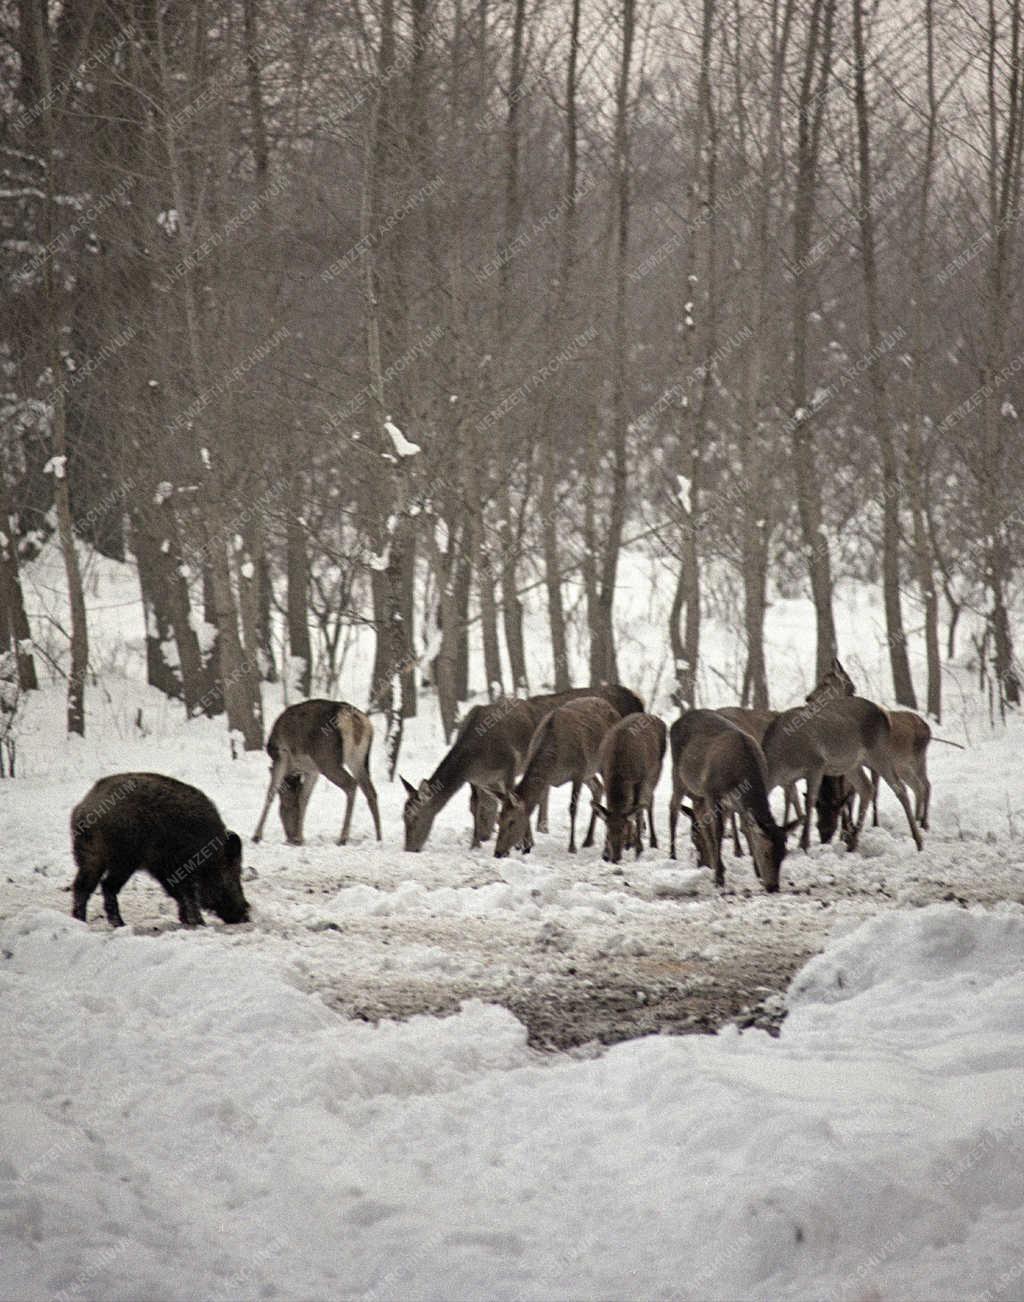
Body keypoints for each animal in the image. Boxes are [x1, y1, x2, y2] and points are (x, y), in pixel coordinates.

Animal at [252, 703, 380, 843]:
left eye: (287, 806)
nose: (290, 837)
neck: (293, 769)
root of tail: (355, 719)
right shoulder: (312, 770)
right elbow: (304, 797)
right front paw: (300, 837)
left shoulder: (281, 756)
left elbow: (271, 793)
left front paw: (256, 836)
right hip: (357, 759)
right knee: (370, 791)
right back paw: (379, 837)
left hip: (327, 759)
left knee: (351, 784)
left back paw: (343, 837)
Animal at [489, 697, 617, 859]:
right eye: (498, 819)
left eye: (512, 821)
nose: (497, 852)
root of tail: (611, 707)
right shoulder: (549, 779)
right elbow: (535, 804)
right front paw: (528, 845)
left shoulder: (578, 771)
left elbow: (572, 808)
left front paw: (572, 847)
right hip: (590, 772)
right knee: (598, 788)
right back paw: (588, 840)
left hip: (603, 764)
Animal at [586, 713, 667, 864]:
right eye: (607, 832)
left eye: (622, 832)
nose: (615, 858)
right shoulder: (605, 775)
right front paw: (605, 852)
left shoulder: (639, 780)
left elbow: (637, 811)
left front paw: (638, 849)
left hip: (655, 772)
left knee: (649, 802)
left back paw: (653, 842)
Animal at [661, 713, 792, 895]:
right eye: (766, 853)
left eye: (784, 854)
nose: (773, 887)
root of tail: (676, 721)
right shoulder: (713, 792)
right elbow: (719, 831)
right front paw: (719, 878)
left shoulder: (736, 803)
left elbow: (747, 829)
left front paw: (757, 873)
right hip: (679, 777)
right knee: (673, 808)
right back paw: (672, 855)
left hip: (699, 793)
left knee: (698, 814)